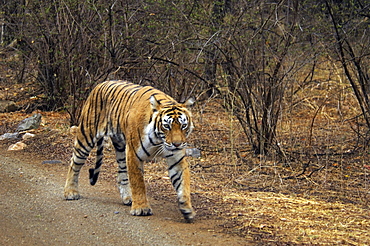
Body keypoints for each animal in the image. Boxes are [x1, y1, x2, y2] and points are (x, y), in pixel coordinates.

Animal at [63, 80, 197, 222]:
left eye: (183, 125)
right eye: (167, 126)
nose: (177, 144)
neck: (158, 141)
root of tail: (100, 84)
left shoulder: (177, 159)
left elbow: (183, 183)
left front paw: (187, 208)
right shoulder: (134, 154)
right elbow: (138, 182)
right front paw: (141, 208)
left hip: (120, 145)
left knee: (121, 171)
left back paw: (128, 197)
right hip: (86, 136)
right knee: (74, 163)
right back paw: (70, 192)